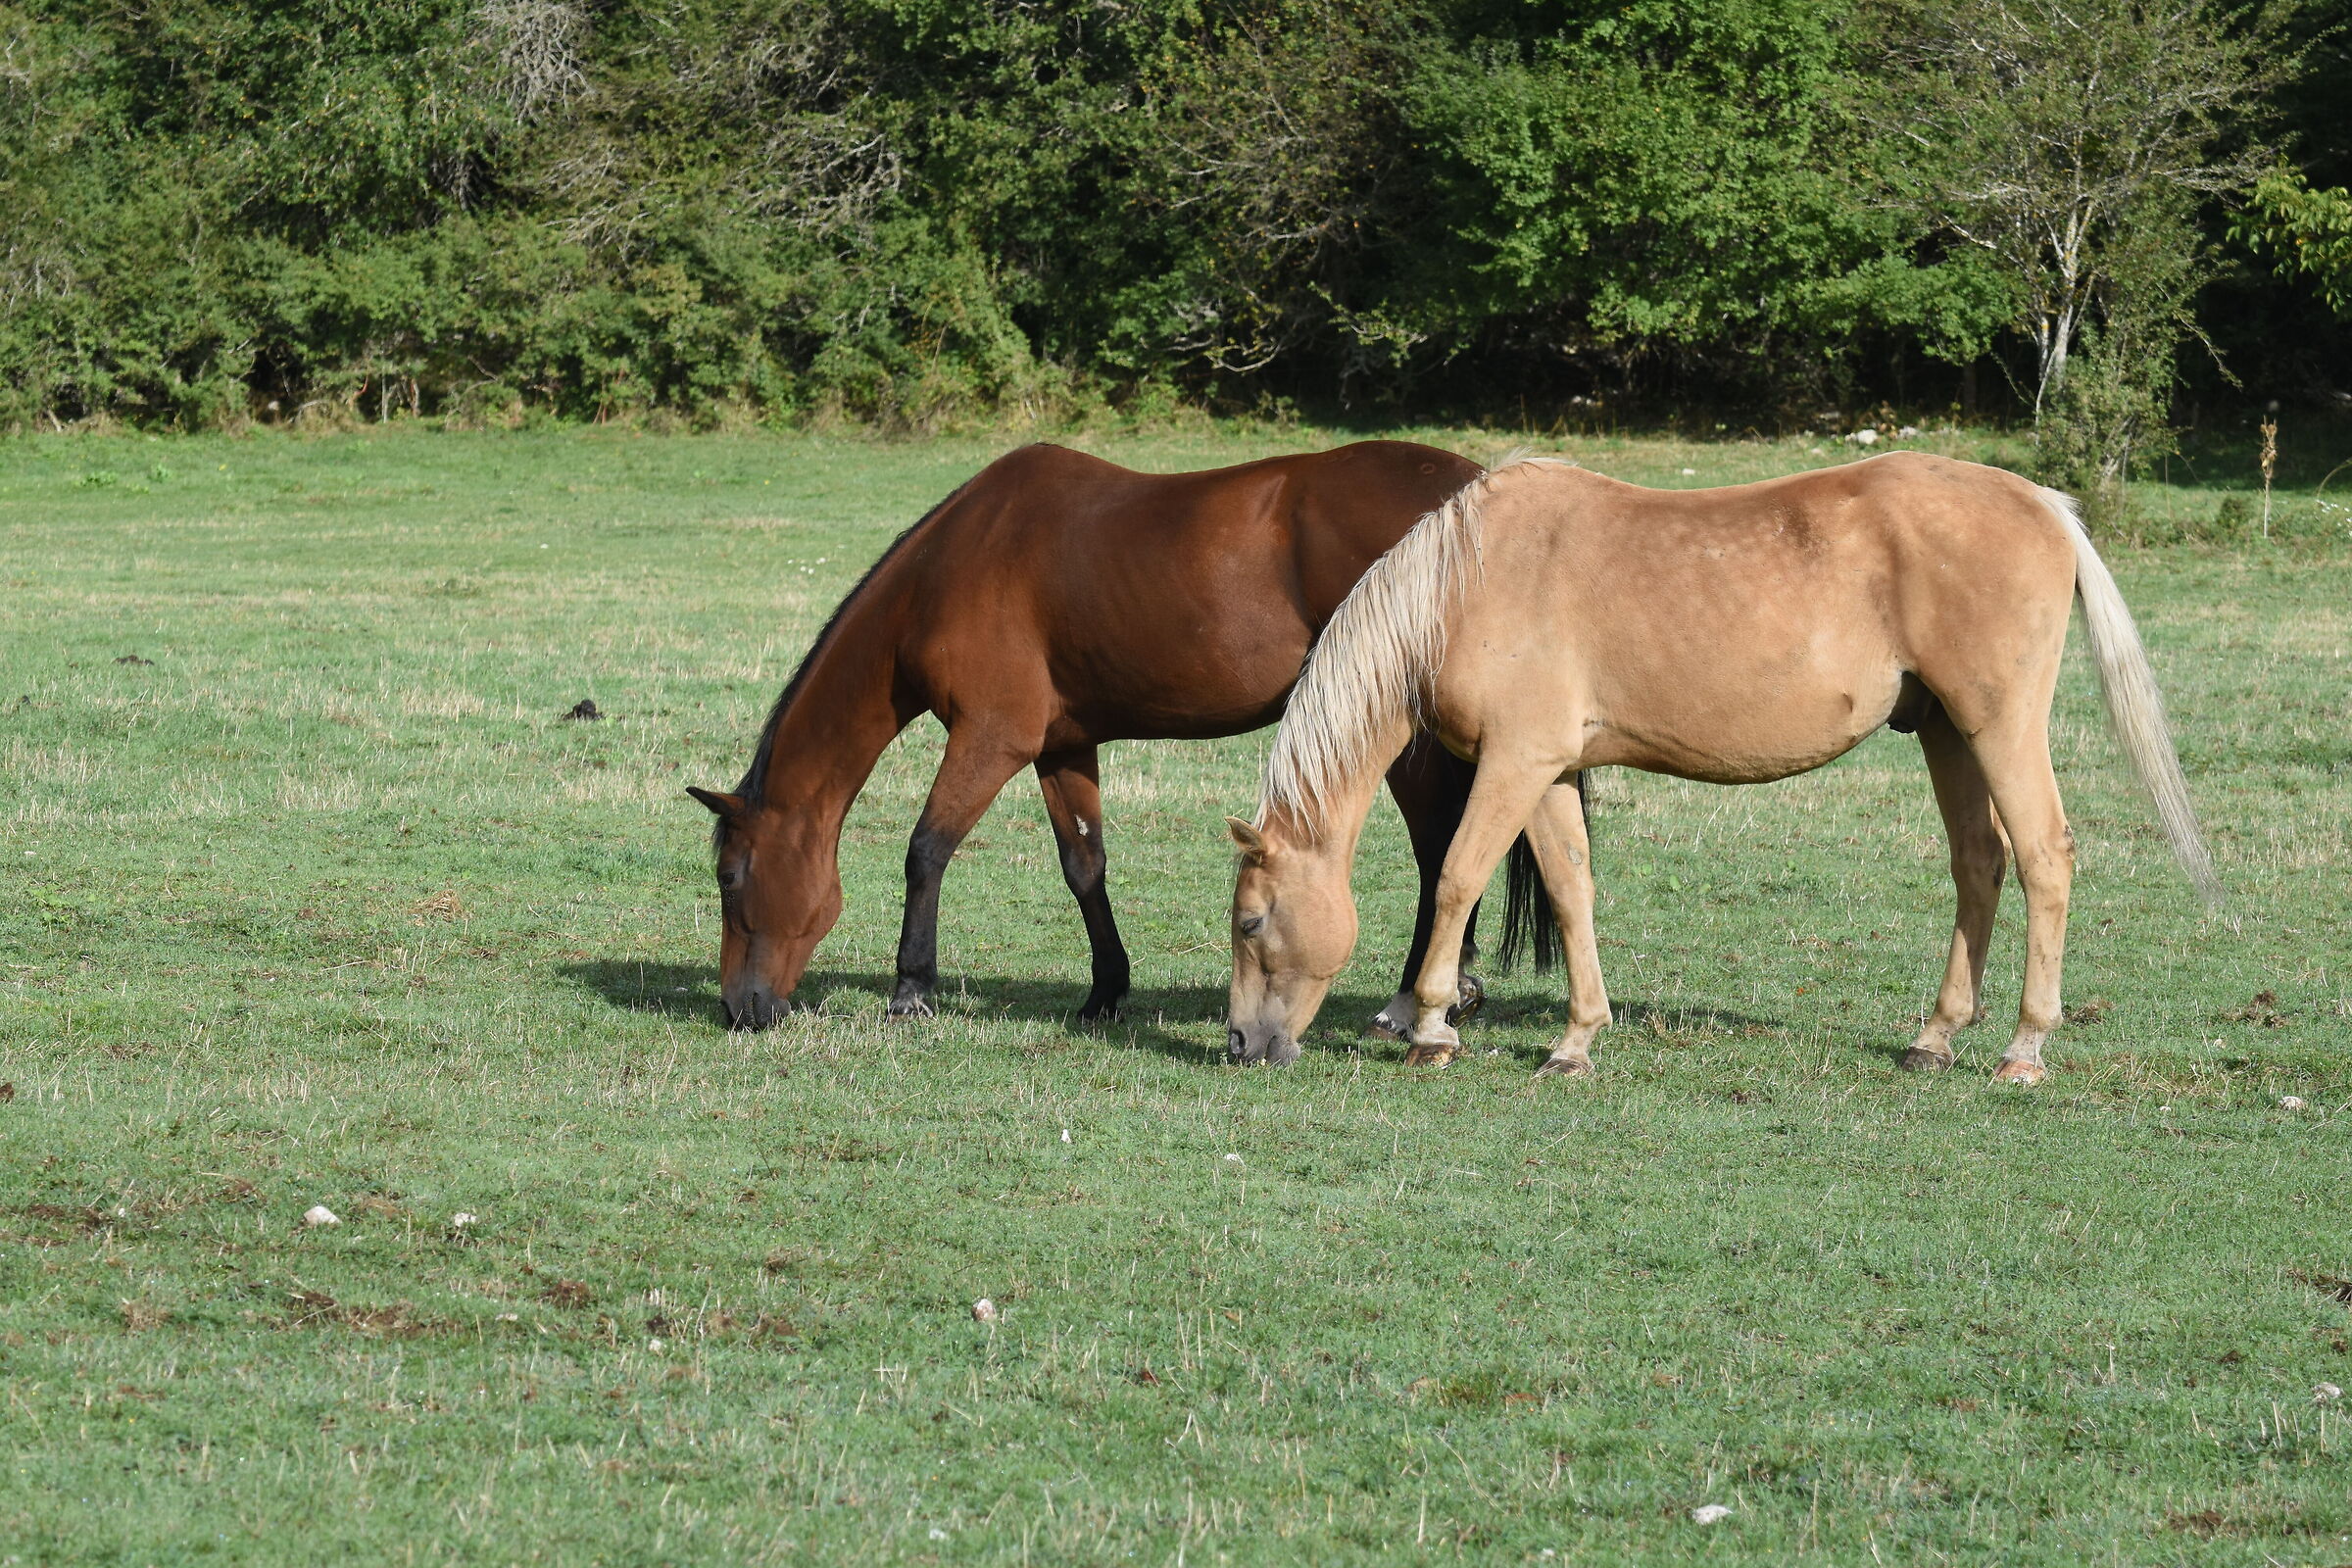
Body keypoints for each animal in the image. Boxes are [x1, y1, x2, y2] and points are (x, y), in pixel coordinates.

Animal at [689, 439, 1557, 1032]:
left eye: (731, 879)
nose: (740, 1008)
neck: (950, 568)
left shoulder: (991, 739)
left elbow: (926, 850)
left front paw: (911, 988)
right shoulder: (1060, 746)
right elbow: (1084, 866)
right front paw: (1105, 989)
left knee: (1441, 850)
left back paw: (1415, 998)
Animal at [1225, 451, 2217, 1082]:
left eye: (1249, 922)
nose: (1240, 1045)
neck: (1469, 580)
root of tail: (2044, 504)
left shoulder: (1514, 762)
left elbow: (1459, 878)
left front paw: (1431, 1027)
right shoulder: (1547, 770)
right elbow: (1572, 889)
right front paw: (1576, 1042)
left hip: (1999, 725)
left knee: (2046, 858)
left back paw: (2023, 1049)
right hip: (1946, 734)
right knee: (1981, 865)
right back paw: (1935, 1038)